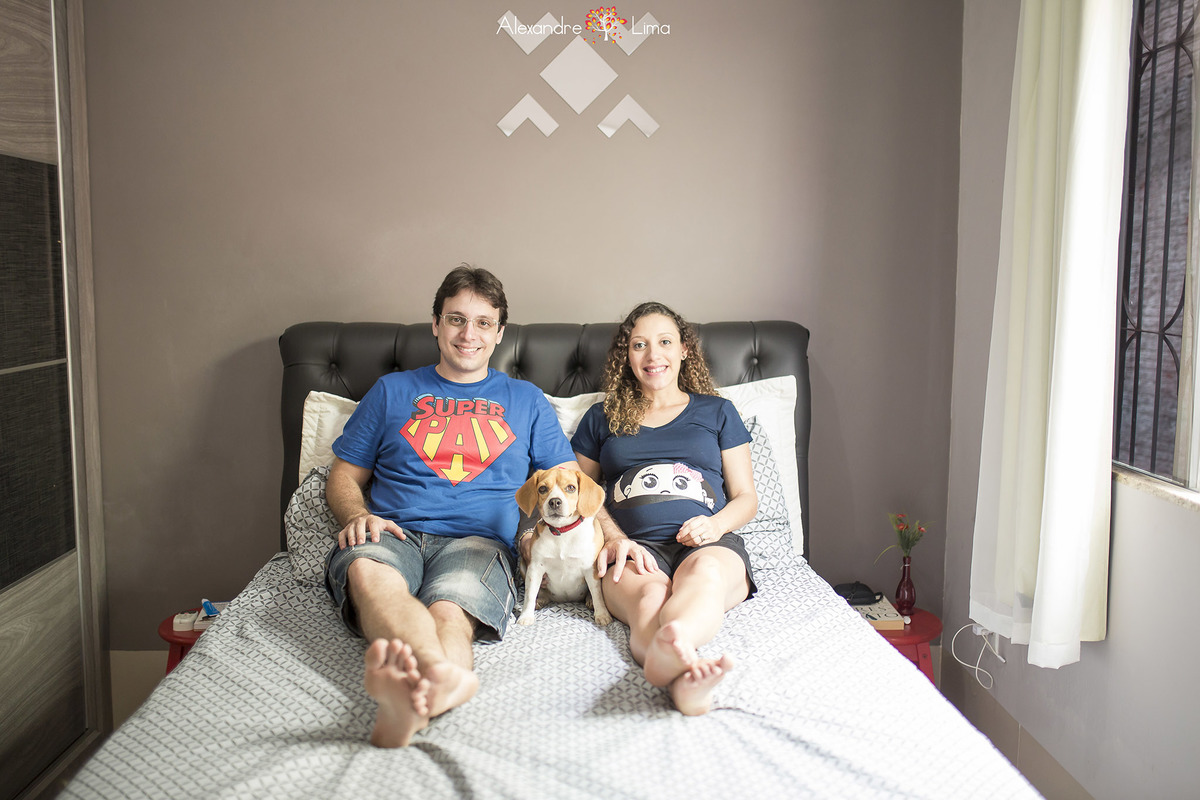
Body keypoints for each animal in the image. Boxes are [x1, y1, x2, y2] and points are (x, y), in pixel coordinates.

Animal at [514, 468, 611, 626]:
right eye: (542, 489)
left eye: (571, 488)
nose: (554, 501)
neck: (562, 532)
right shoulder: (535, 569)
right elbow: (529, 595)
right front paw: (526, 616)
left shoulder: (591, 568)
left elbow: (597, 594)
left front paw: (602, 614)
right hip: (524, 565)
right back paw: (540, 600)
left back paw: (590, 601)